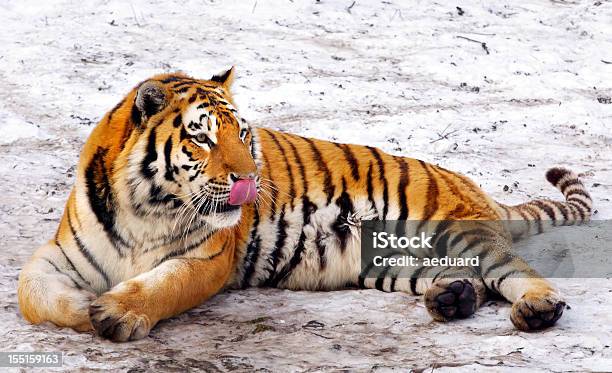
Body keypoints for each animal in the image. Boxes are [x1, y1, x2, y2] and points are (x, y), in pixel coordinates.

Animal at [20, 68, 592, 342]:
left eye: (241, 135)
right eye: (202, 137)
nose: (251, 180)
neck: (146, 207)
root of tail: (470, 183)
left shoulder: (207, 259)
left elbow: (163, 286)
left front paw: (115, 311)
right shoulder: (60, 253)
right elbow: (33, 292)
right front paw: (82, 308)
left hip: (456, 231)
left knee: (517, 271)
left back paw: (538, 309)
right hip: (398, 262)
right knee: (467, 280)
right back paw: (452, 300)